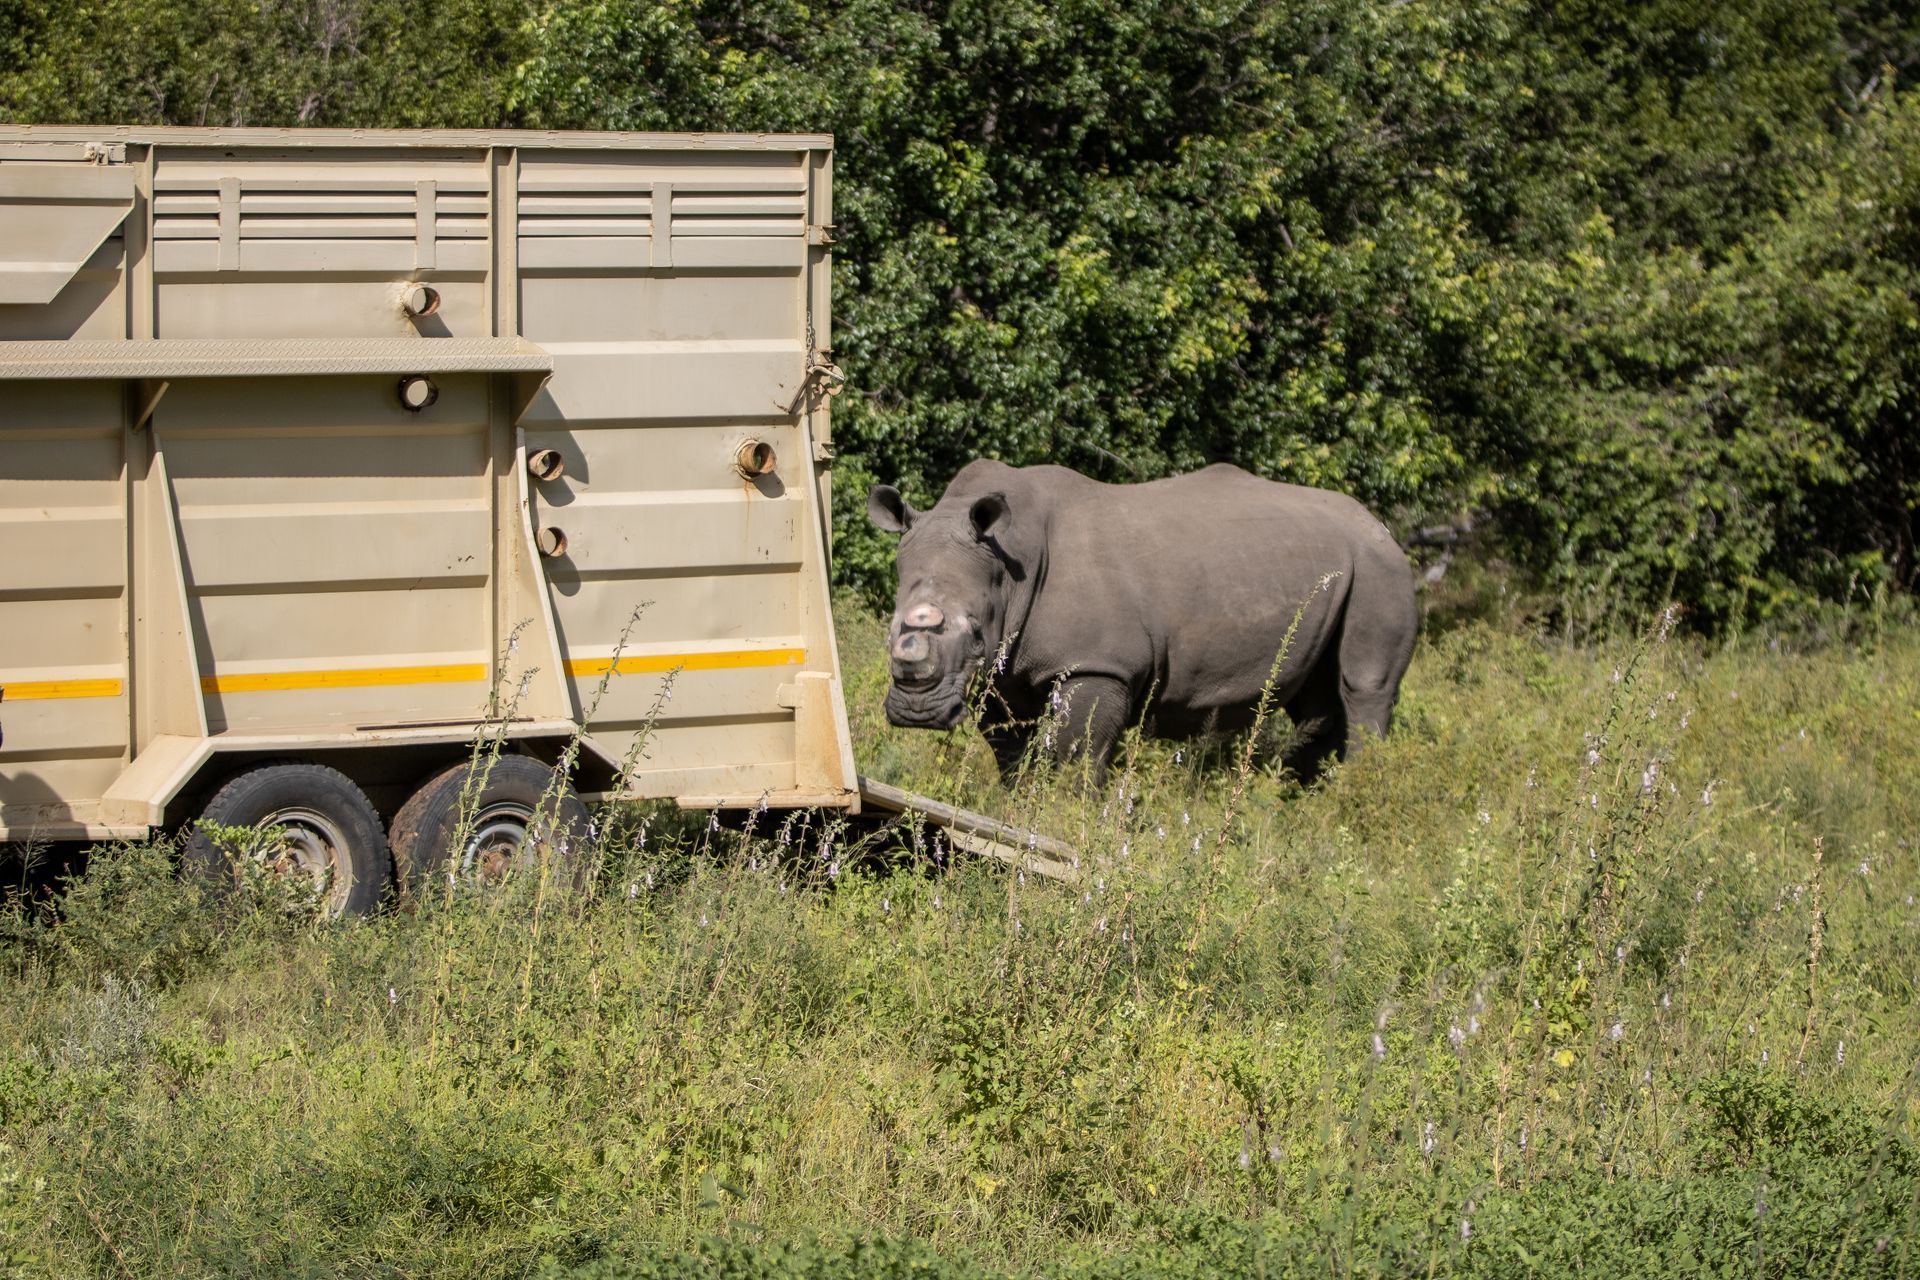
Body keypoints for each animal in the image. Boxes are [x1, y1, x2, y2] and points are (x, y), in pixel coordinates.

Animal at [868, 460, 1417, 784]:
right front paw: (1019, 810)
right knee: (1316, 703)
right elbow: (1012, 755)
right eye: (890, 627)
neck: (1008, 564)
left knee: (1363, 688)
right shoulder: (1001, 676)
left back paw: (1351, 794)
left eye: (976, 633)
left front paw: (1067, 819)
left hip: (1381, 569)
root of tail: (1383, 527)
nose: (917, 712)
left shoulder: (1098, 663)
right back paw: (1298, 800)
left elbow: (1078, 753)